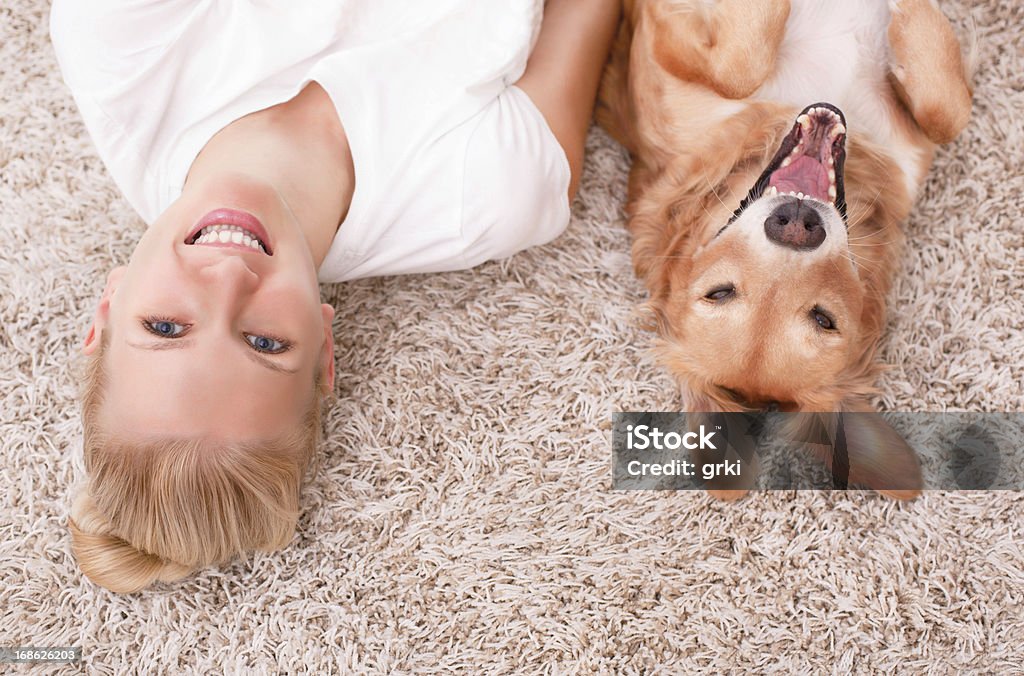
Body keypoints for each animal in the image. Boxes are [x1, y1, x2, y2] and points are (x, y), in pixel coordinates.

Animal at [598, 0, 974, 495]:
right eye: (719, 292)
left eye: (824, 319)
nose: (796, 224)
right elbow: (740, 70)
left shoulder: (909, 150)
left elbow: (947, 114)